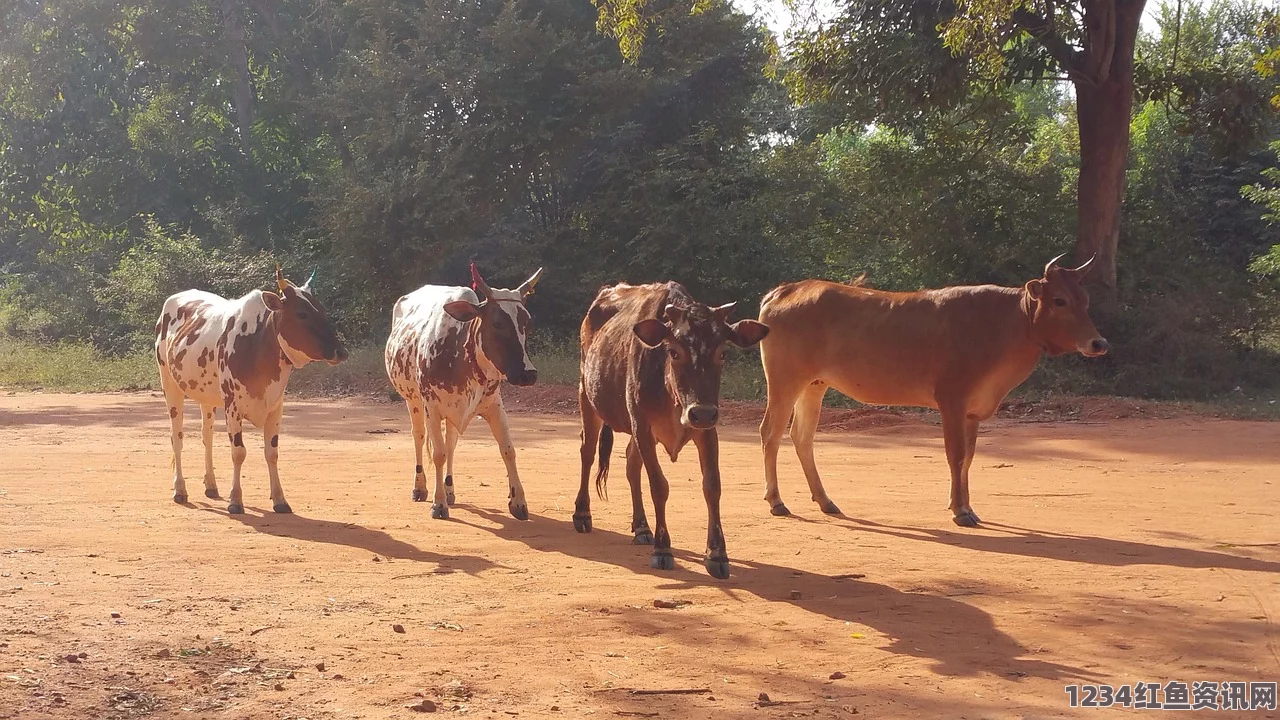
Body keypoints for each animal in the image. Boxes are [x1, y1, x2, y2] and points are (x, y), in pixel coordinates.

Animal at [156, 266, 350, 512]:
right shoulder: (233, 408)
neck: (257, 344)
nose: (340, 351)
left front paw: (280, 499)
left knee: (207, 437)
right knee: (177, 437)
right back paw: (180, 490)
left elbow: (272, 453)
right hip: (170, 386)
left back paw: (211, 485)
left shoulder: (275, 407)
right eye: (302, 314)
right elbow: (238, 453)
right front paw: (235, 500)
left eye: (322, 310)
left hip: (207, 399)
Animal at [378, 260, 540, 517]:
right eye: (497, 322)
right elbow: (438, 454)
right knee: (419, 437)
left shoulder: (494, 405)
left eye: (528, 323)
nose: (528, 374)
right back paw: (420, 488)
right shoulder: (432, 407)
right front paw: (438, 503)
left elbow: (508, 449)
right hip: (413, 401)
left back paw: (450, 490)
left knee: (451, 443)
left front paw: (518, 502)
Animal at [573, 280, 768, 576]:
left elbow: (712, 485)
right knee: (588, 452)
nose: (701, 412)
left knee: (631, 465)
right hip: (588, 397)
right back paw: (582, 513)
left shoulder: (707, 429)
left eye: (723, 352)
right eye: (674, 351)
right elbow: (658, 485)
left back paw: (642, 527)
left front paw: (717, 553)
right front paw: (663, 548)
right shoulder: (642, 424)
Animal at [757, 254, 1111, 525]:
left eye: (1085, 300)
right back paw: (777, 502)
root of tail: (786, 290)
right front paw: (960, 511)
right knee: (770, 432)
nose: (1099, 343)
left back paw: (826, 500)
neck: (1006, 322)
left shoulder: (972, 411)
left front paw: (966, 505)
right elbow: (955, 455)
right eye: (1059, 300)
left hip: (813, 384)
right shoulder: (952, 399)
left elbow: (969, 457)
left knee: (801, 436)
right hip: (785, 379)